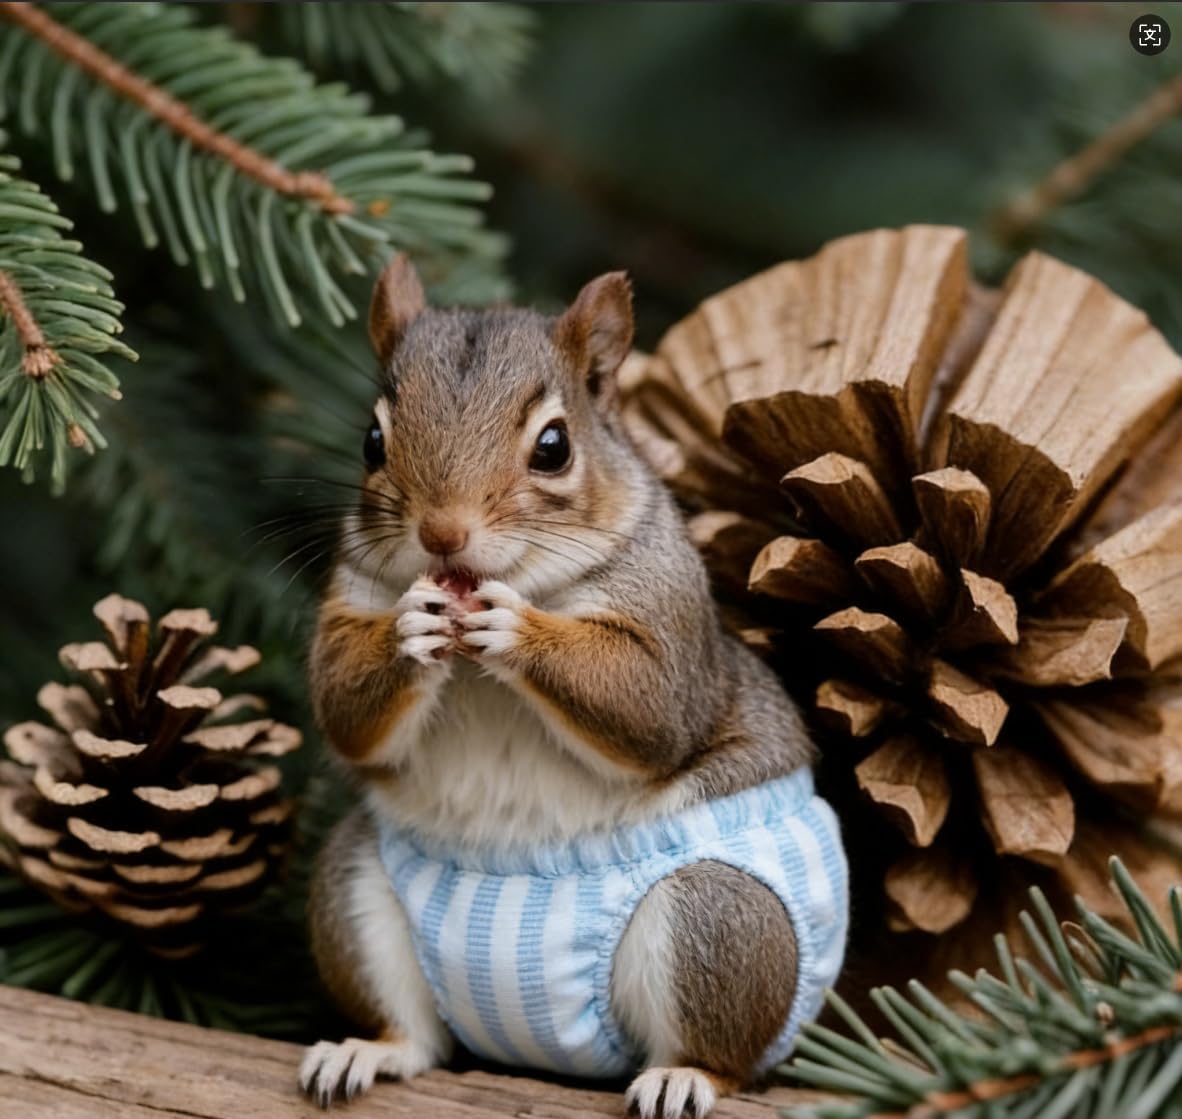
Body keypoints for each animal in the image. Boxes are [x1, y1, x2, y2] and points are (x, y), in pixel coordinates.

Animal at [300, 255, 848, 1119]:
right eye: (372, 440)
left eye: (553, 447)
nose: (441, 535)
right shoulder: (352, 596)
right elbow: (342, 706)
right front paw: (410, 628)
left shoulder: (668, 618)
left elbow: (649, 706)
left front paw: (514, 628)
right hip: (355, 886)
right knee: (418, 1037)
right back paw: (367, 1050)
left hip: (722, 915)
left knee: (728, 1049)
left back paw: (685, 1076)